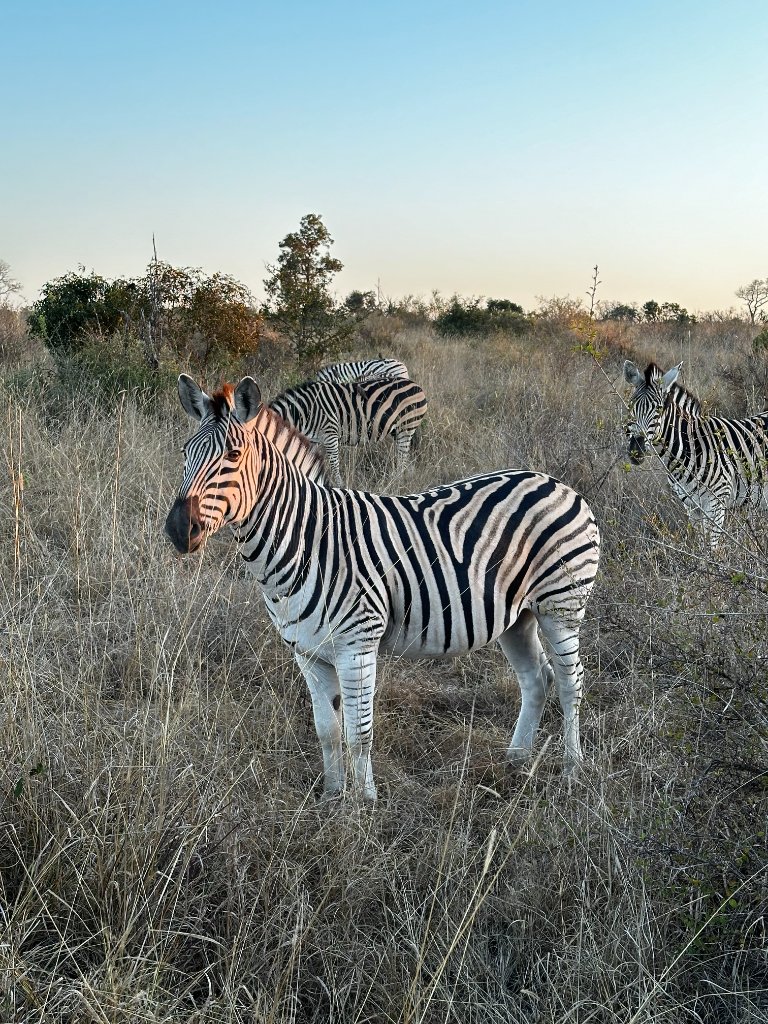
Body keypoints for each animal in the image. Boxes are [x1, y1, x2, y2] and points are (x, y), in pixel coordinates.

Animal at [268, 376, 427, 482]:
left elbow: (334, 465)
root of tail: (417, 386)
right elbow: (307, 460)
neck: (305, 412)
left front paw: (338, 488)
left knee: (402, 459)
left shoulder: (330, 433)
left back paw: (396, 481)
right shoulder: (312, 440)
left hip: (406, 428)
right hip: (398, 431)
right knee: (404, 457)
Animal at [624, 360, 768, 548]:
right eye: (631, 406)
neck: (689, 449)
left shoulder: (716, 505)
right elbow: (700, 547)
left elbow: (712, 549)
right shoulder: (692, 507)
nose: (636, 450)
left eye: (659, 409)